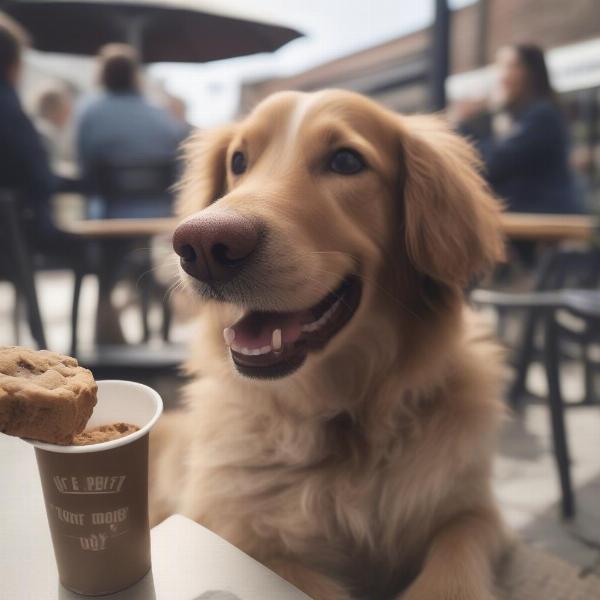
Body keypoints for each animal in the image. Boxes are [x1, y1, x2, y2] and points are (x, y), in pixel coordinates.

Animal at [152, 89, 508, 600]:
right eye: (239, 161)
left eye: (346, 161)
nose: (201, 246)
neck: (344, 423)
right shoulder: (228, 530)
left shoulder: (473, 512)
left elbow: (454, 564)